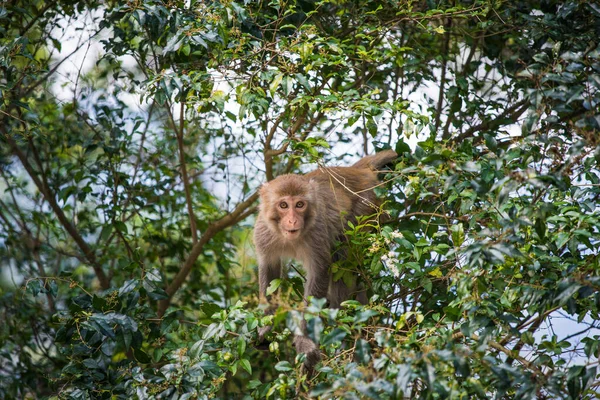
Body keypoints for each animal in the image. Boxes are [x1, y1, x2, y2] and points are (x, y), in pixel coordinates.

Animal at [254, 150, 398, 372]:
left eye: (300, 205)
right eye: (283, 205)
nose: (293, 220)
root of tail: (357, 171)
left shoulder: (317, 231)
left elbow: (320, 271)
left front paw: (305, 342)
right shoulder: (263, 232)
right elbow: (269, 270)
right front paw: (266, 326)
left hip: (367, 207)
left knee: (345, 258)